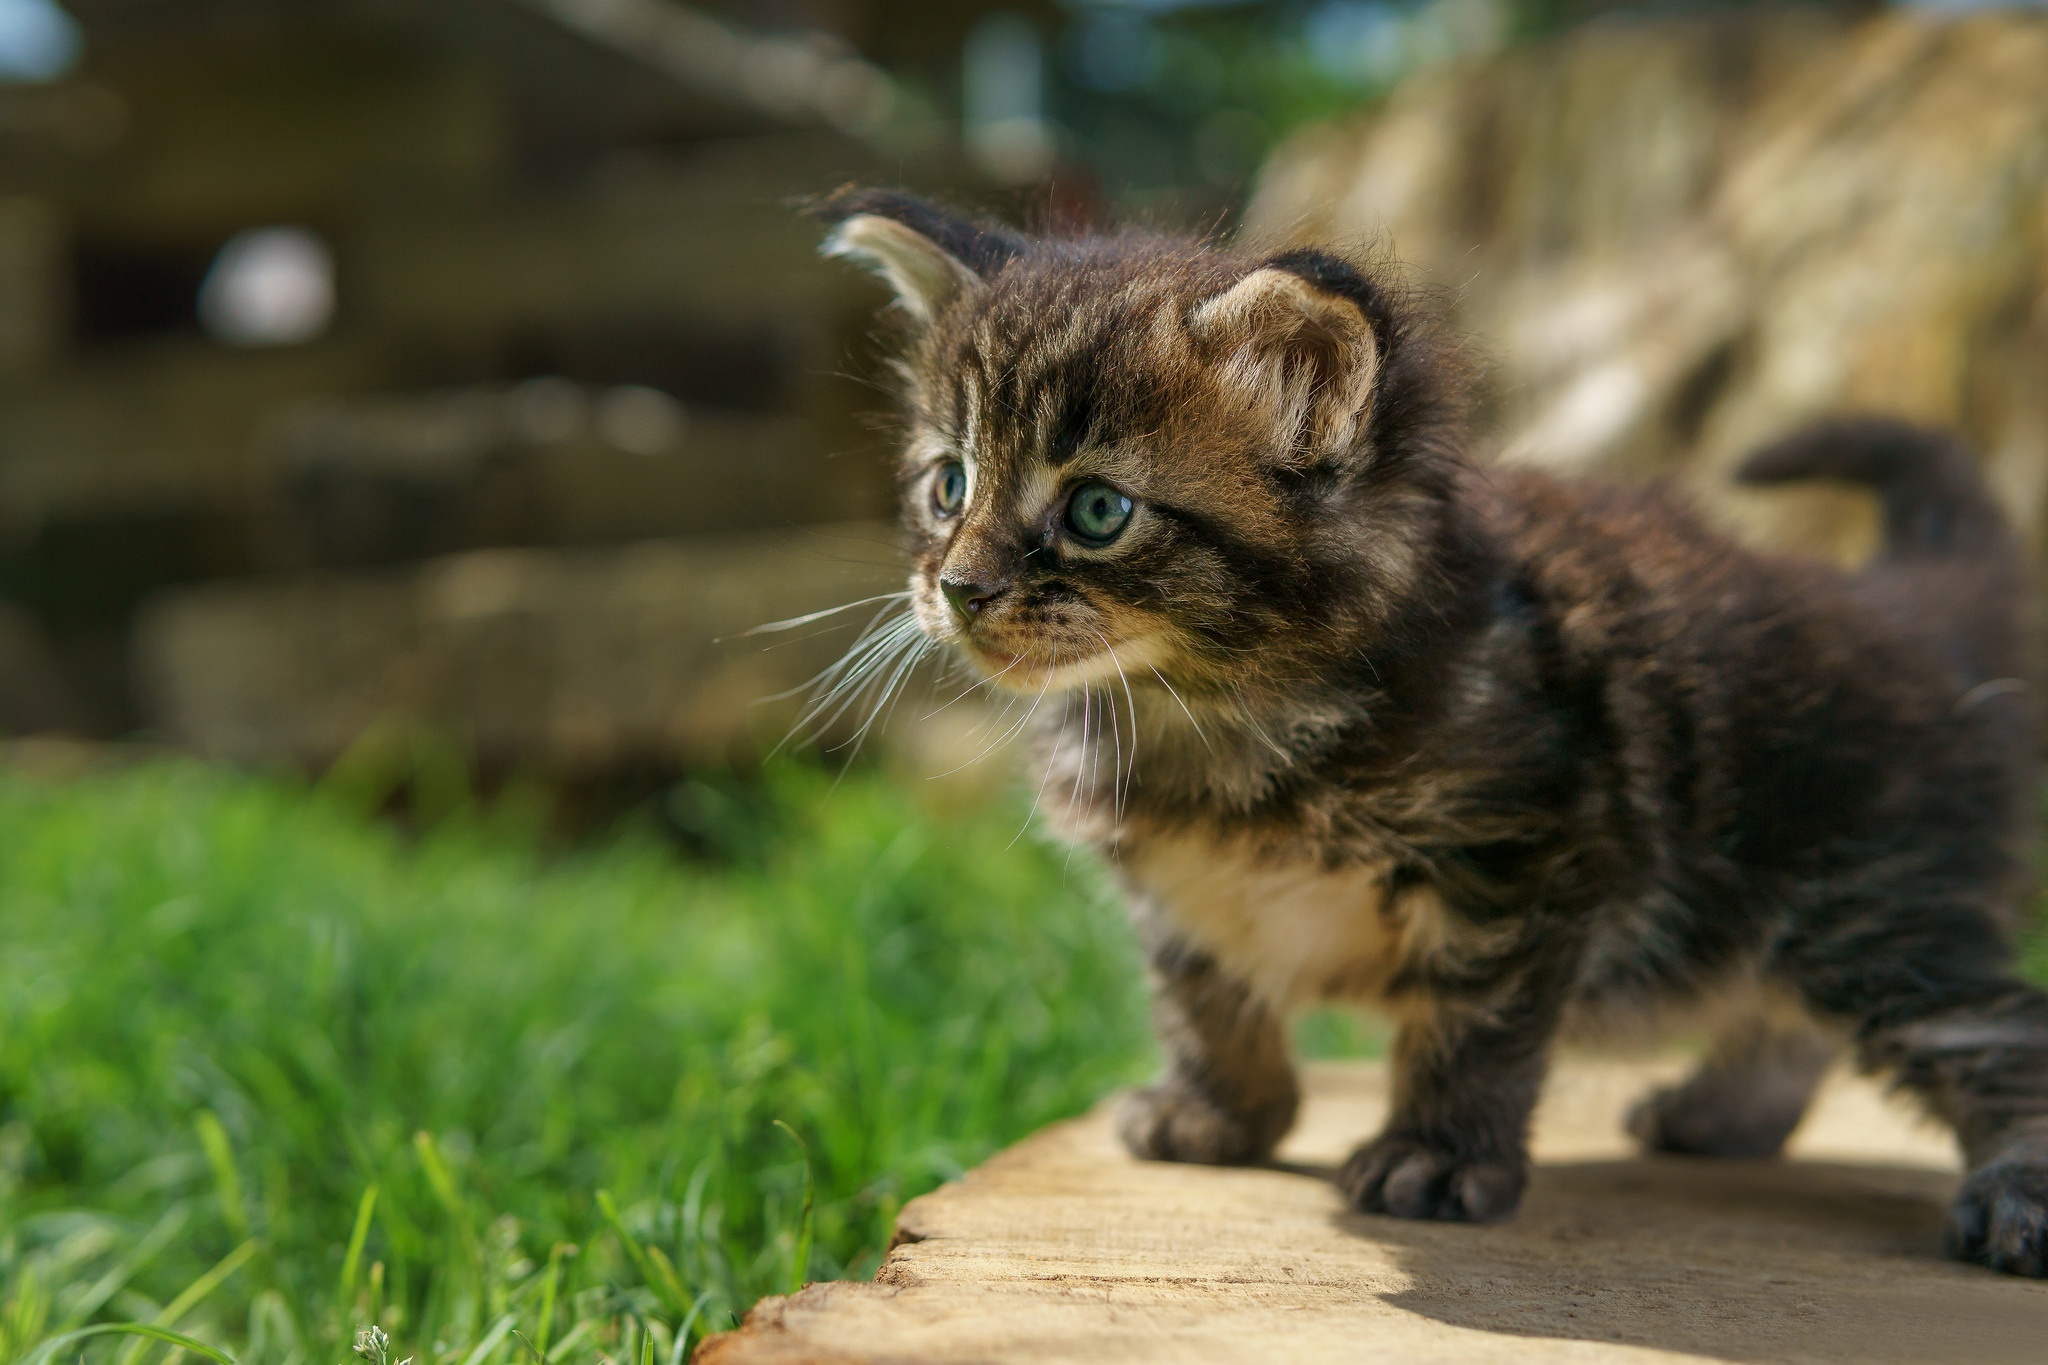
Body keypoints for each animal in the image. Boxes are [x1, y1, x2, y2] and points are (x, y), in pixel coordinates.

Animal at [815, 187, 2048, 1277]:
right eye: (948, 485)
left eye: (1097, 511)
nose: (957, 588)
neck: (1209, 715)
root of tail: (1905, 612)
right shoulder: (1179, 898)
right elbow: (1205, 1002)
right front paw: (1223, 1118)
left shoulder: (1524, 860)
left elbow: (1471, 1026)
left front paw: (1435, 1156)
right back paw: (1721, 1113)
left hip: (1871, 903)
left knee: (1990, 1031)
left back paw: (2010, 1198)